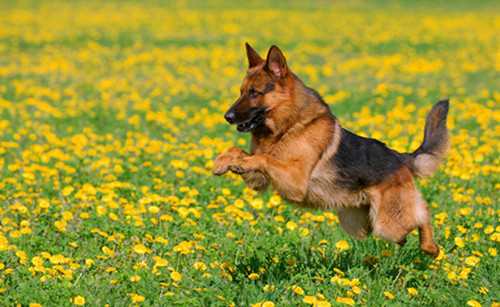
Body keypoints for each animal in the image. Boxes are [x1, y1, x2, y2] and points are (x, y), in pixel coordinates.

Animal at [213, 44, 452, 260]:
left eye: (254, 93)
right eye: (241, 92)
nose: (227, 117)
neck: (289, 126)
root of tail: (398, 156)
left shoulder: (295, 180)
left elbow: (263, 158)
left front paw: (238, 162)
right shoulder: (260, 180)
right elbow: (240, 151)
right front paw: (222, 162)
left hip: (388, 223)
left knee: (423, 211)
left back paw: (431, 248)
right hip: (365, 224)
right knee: (405, 230)